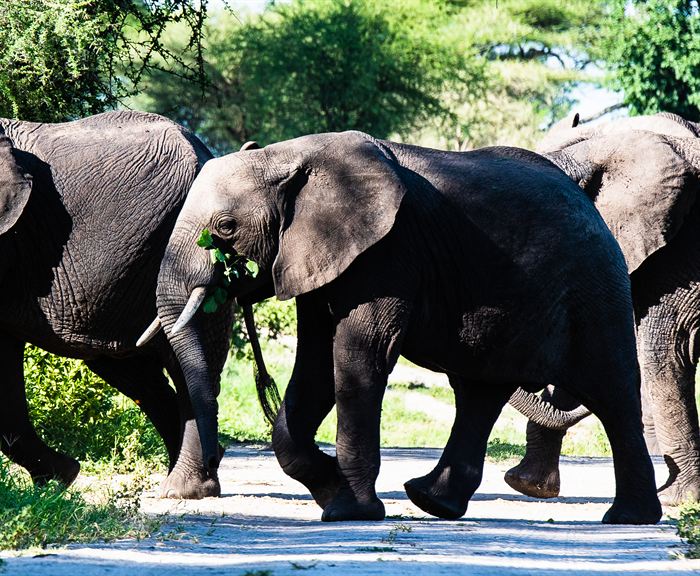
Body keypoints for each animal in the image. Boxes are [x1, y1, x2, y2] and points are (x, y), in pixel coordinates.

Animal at [148, 129, 662, 524]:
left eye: (225, 227)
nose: (210, 465)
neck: (290, 154)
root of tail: (591, 206)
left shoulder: (388, 253)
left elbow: (358, 357)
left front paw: (349, 511)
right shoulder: (321, 255)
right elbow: (315, 365)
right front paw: (331, 489)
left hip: (595, 287)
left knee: (611, 393)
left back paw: (629, 519)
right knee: (479, 393)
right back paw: (432, 502)